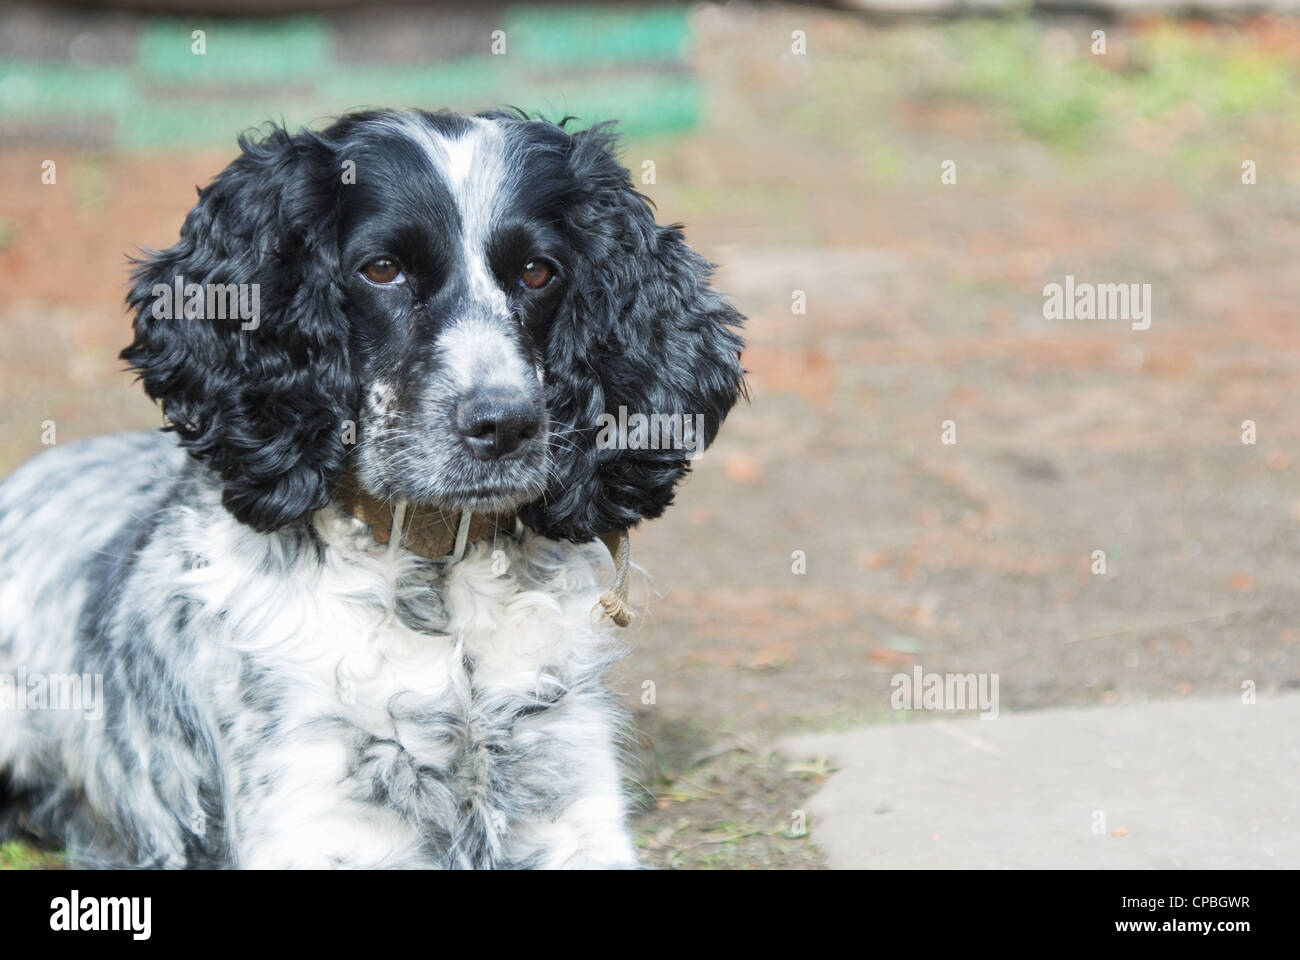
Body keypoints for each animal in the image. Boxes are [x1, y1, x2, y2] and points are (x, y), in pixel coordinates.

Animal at [0, 108, 748, 863]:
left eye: (539, 272)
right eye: (382, 269)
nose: (506, 424)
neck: (439, 590)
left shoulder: (570, 809)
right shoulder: (323, 826)